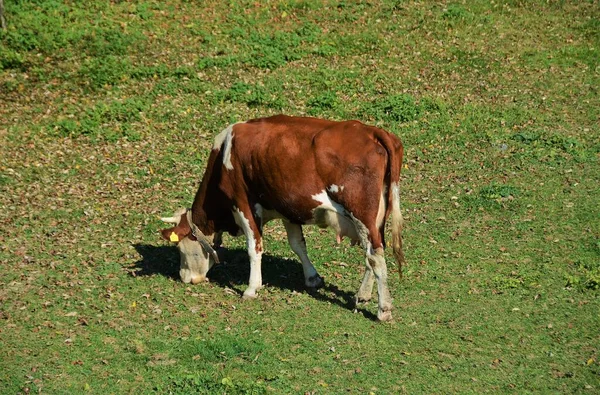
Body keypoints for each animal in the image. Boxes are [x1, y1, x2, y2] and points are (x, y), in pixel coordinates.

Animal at [159, 114, 406, 322]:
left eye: (181, 249)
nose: (185, 278)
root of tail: (372, 131)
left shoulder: (243, 203)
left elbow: (254, 247)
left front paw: (252, 288)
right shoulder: (288, 207)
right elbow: (298, 245)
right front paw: (312, 278)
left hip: (361, 213)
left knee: (375, 256)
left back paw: (383, 310)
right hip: (376, 218)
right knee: (373, 253)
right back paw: (362, 294)